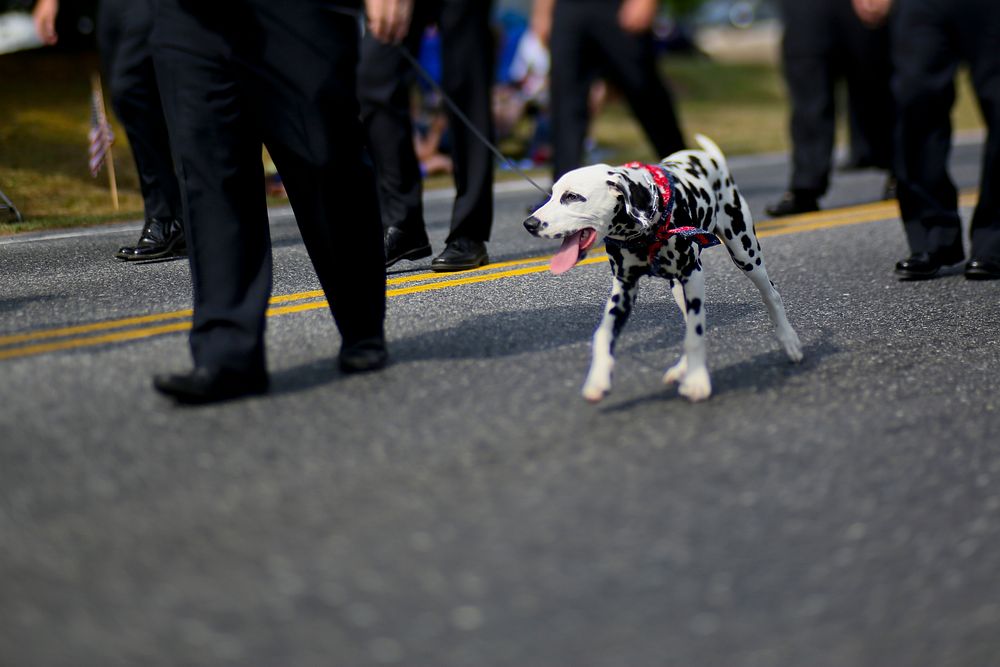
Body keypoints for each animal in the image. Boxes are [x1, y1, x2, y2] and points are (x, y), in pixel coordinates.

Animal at [524, 133, 804, 400]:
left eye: (572, 197)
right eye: (552, 194)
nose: (529, 223)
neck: (645, 229)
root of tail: (709, 158)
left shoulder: (693, 275)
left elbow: (695, 335)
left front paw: (697, 381)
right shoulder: (624, 290)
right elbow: (603, 335)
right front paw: (599, 378)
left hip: (745, 253)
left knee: (771, 294)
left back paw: (789, 341)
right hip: (679, 289)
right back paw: (682, 368)